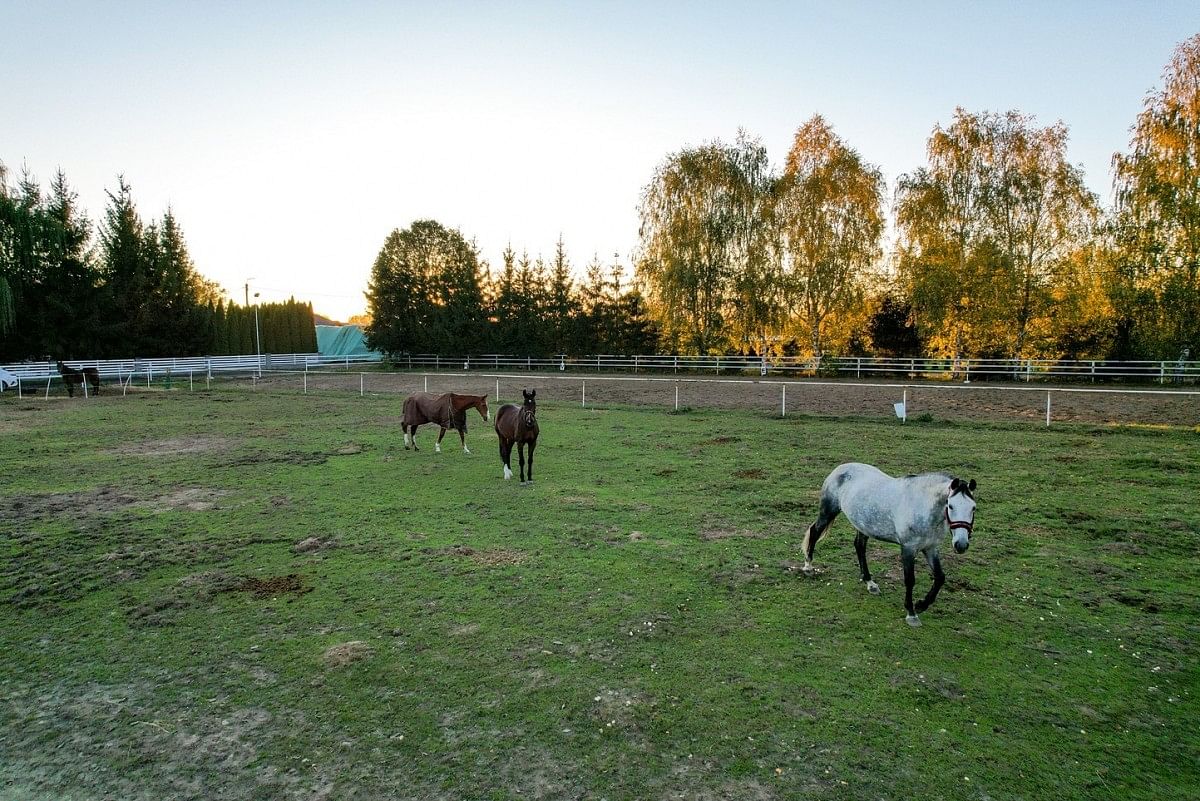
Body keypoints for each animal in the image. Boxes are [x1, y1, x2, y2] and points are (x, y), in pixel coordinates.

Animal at [796, 462, 974, 623]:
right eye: (950, 506)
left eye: (973, 507)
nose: (961, 545)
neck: (921, 506)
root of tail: (840, 468)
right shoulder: (908, 548)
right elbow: (910, 579)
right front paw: (911, 613)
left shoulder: (931, 548)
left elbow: (940, 577)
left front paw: (921, 605)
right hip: (828, 512)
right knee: (815, 532)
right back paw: (808, 567)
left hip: (863, 525)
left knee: (859, 547)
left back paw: (870, 583)